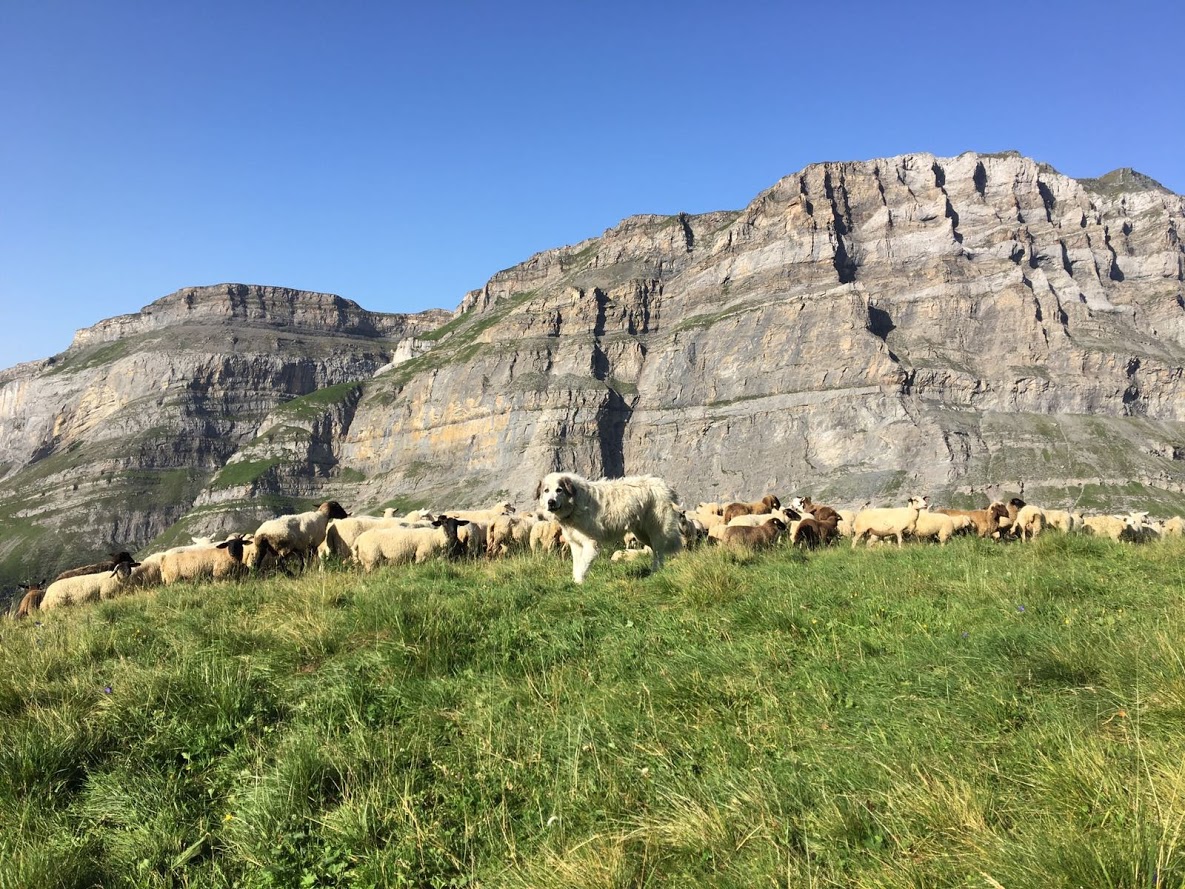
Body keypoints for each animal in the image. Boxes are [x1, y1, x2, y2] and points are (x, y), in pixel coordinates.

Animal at [537, 474, 687, 585]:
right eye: (546, 491)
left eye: (559, 490)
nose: (551, 502)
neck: (575, 504)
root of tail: (666, 486)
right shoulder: (576, 545)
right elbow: (577, 565)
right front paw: (575, 582)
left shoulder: (591, 544)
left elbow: (583, 565)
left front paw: (579, 583)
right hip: (642, 534)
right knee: (655, 551)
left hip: (657, 531)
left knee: (659, 552)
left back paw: (655, 573)